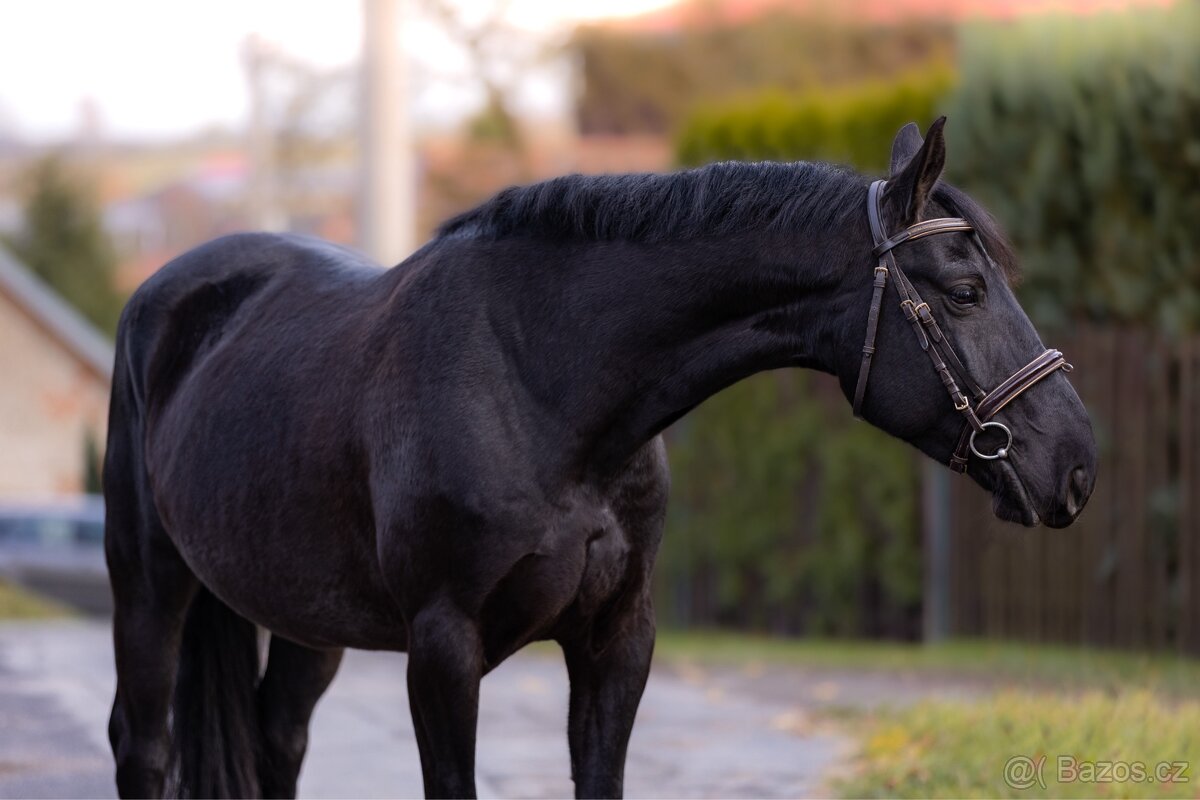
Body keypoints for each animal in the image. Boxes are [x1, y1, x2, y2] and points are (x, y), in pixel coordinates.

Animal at [103, 118, 1096, 799]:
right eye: (964, 292)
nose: (1076, 464)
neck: (542, 383)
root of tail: (168, 292)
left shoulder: (618, 639)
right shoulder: (442, 648)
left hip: (311, 621)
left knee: (278, 739)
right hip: (150, 587)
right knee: (140, 745)